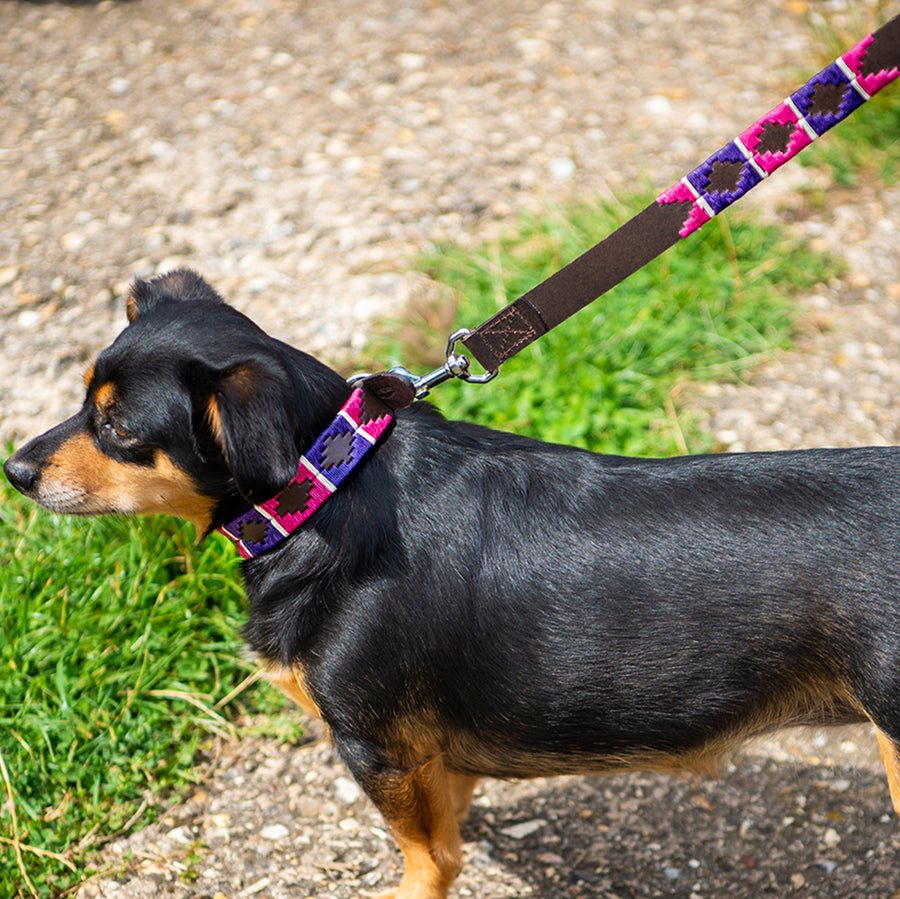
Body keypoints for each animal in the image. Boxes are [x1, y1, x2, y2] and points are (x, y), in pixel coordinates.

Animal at [5, 268, 900, 899]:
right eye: (84, 401)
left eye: (117, 427)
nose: (14, 470)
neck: (331, 485)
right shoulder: (427, 755)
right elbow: (450, 822)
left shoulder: (377, 751)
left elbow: (426, 855)